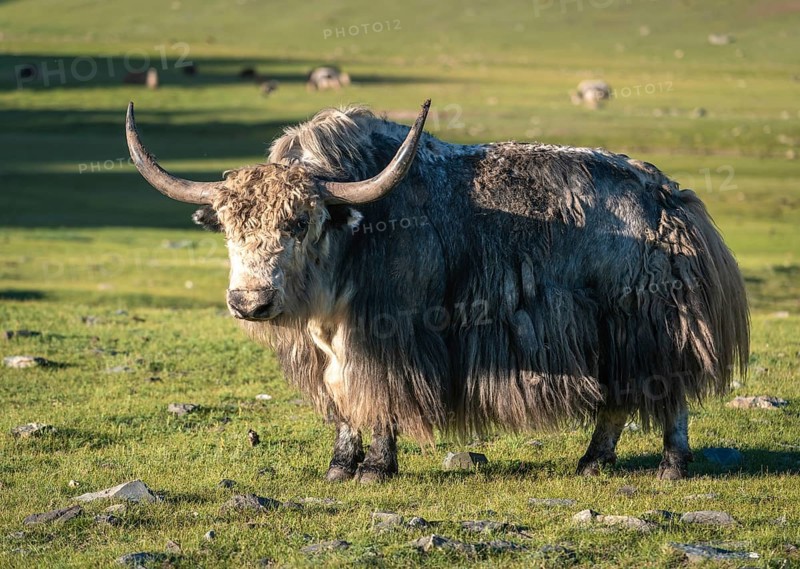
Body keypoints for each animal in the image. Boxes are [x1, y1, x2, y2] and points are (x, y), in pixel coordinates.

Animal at [125, 99, 749, 483]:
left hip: (647, 321)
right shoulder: (331, 346)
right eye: (230, 226)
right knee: (620, 398)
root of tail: (671, 198)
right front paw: (339, 466)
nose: (250, 303)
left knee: (663, 388)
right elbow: (342, 397)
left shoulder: (387, 334)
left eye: (300, 223)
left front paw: (374, 469)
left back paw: (669, 465)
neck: (350, 238)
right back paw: (591, 463)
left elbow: (376, 393)